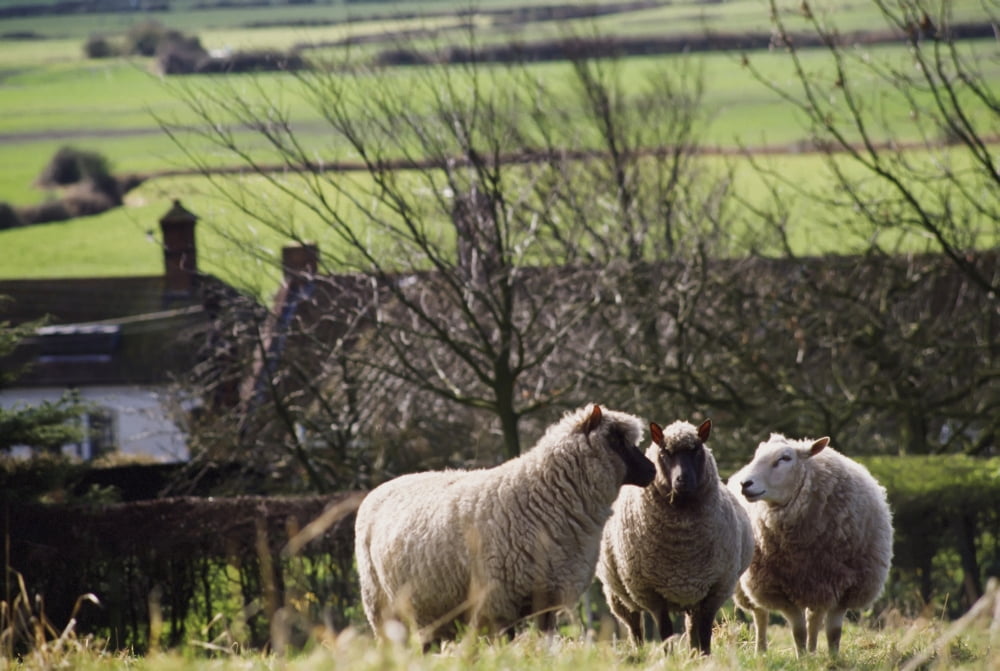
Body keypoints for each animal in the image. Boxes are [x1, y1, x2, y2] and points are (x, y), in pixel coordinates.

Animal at [354, 403, 656, 646]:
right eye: (616, 441)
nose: (652, 470)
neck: (543, 496)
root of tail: (379, 489)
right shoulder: (498, 602)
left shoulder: (546, 596)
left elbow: (546, 643)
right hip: (380, 606)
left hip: (426, 608)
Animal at [597, 418, 754, 655]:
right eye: (665, 452)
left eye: (696, 449)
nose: (683, 480)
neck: (683, 545)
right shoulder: (652, 594)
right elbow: (666, 632)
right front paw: (669, 657)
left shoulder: (714, 590)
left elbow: (705, 632)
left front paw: (706, 657)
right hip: (618, 593)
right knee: (635, 626)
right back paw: (639, 652)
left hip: (692, 593)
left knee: (691, 628)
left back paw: (693, 654)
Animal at [727, 433, 893, 657]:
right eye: (757, 455)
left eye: (785, 458)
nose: (745, 483)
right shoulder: (780, 590)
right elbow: (798, 631)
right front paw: (802, 658)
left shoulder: (844, 587)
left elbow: (833, 632)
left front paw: (832, 658)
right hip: (754, 582)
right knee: (760, 615)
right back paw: (761, 651)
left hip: (818, 585)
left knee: (814, 619)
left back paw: (814, 652)